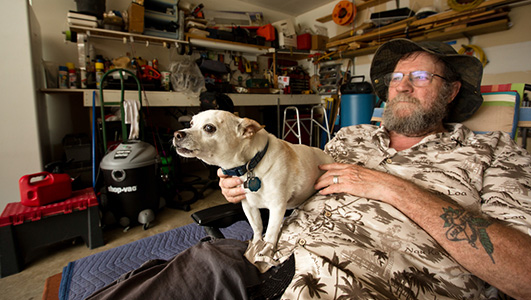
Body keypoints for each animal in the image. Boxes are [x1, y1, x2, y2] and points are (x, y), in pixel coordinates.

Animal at [174, 110, 332, 272]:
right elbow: (257, 227)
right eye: (191, 123)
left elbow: (270, 233)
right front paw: (256, 243)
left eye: (209, 128)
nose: (177, 134)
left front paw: (265, 251)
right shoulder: (249, 206)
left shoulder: (277, 208)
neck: (249, 165)